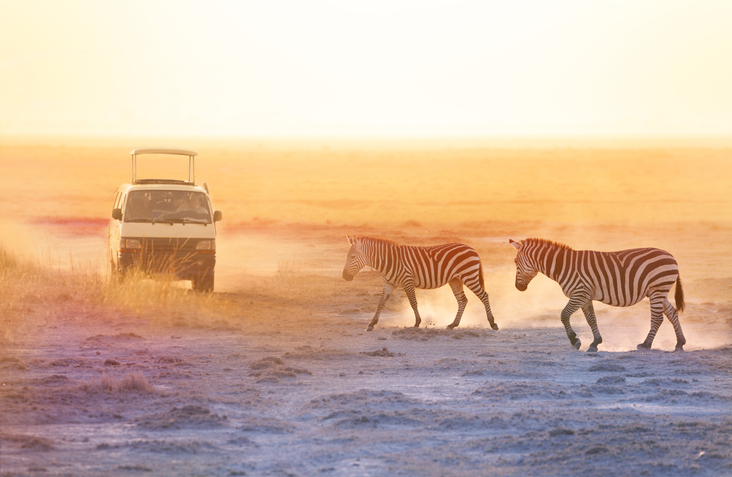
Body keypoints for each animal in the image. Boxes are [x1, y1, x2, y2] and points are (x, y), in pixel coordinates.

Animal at [342, 235, 499, 332]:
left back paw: (492, 323)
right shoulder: (389, 284)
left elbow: (413, 302)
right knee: (462, 300)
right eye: (348, 256)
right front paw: (371, 324)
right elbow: (380, 303)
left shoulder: (407, 280)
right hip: (456, 280)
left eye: (353, 257)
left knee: (484, 296)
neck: (389, 261)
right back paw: (453, 324)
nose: (344, 276)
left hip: (469, 276)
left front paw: (417, 322)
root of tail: (472, 248)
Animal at [509, 238, 686, 352]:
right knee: (672, 313)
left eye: (515, 262)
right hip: (658, 291)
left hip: (657, 289)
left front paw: (574, 340)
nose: (518, 288)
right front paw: (595, 343)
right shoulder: (586, 297)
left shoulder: (579, 294)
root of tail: (672, 256)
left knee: (657, 318)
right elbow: (591, 320)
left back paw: (646, 344)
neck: (563, 266)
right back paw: (680, 343)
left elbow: (564, 315)